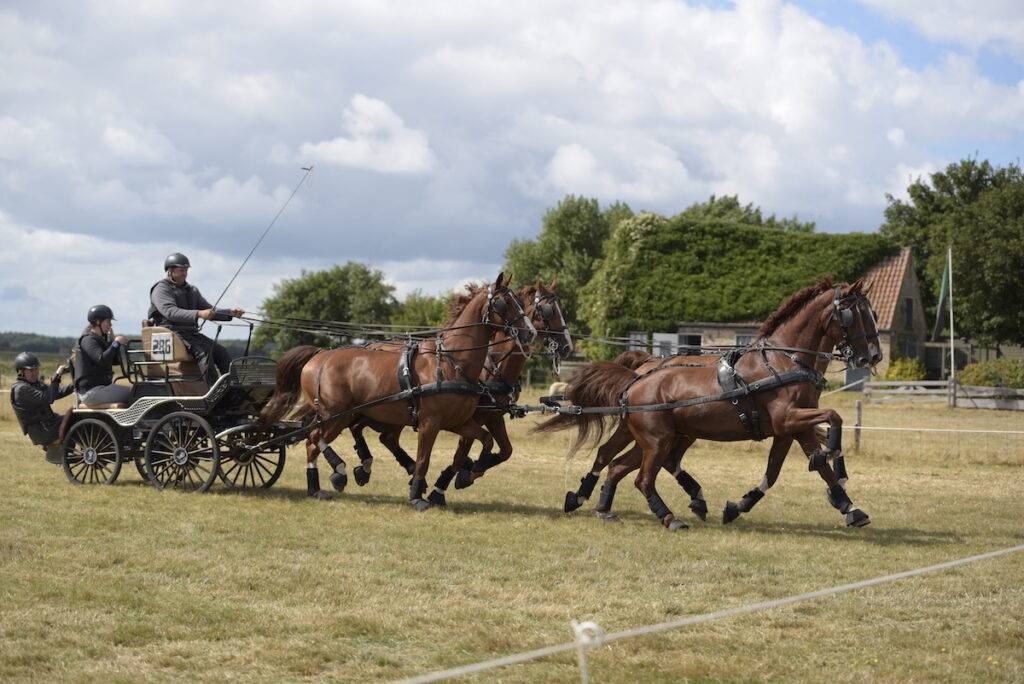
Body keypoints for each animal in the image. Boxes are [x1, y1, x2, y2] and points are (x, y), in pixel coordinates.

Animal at [259, 273, 537, 510]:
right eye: (504, 303)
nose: (531, 333)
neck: (451, 362)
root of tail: (320, 354)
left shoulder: (459, 422)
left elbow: (484, 442)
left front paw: (469, 472)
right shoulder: (430, 423)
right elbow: (424, 459)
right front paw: (417, 496)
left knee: (319, 440)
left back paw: (320, 486)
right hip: (335, 415)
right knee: (314, 438)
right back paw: (336, 474)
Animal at [538, 277, 881, 531]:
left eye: (872, 313)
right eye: (853, 314)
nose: (873, 356)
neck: (785, 361)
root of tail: (636, 380)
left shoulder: (789, 429)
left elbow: (783, 470)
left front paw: (847, 504)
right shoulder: (789, 419)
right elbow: (833, 420)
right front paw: (834, 460)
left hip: (658, 437)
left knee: (618, 463)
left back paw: (603, 505)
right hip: (658, 439)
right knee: (641, 474)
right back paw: (667, 516)